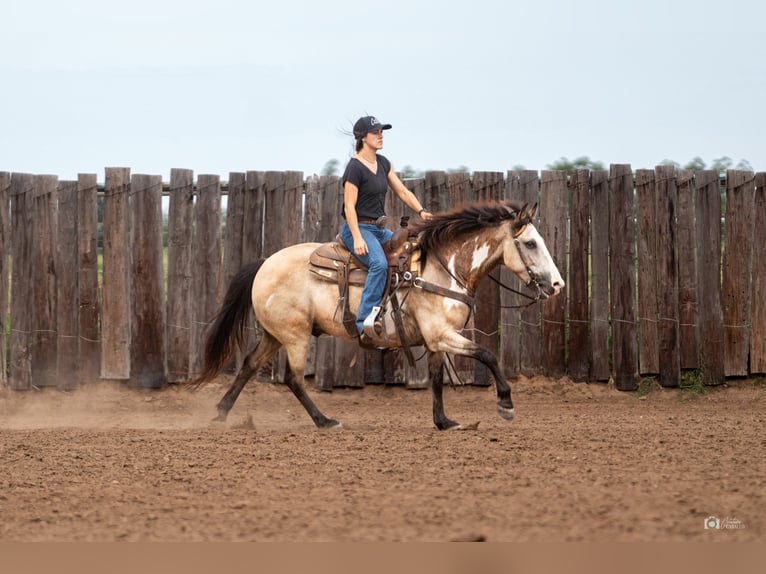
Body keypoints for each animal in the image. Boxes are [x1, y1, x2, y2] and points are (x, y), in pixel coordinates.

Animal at [192, 200, 564, 430]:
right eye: (530, 243)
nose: (557, 284)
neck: (442, 269)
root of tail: (264, 262)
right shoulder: (442, 335)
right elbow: (487, 354)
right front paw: (506, 404)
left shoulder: (435, 341)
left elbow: (437, 380)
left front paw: (444, 422)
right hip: (295, 336)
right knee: (293, 379)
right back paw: (325, 421)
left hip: (274, 334)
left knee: (249, 365)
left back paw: (221, 414)